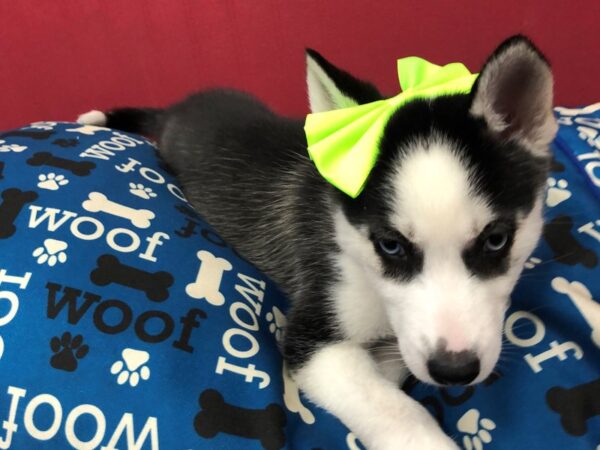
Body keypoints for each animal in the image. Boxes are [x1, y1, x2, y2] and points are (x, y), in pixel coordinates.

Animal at [81, 36, 556, 450]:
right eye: (390, 245)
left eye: (496, 240)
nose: (455, 371)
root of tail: (187, 105)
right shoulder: (316, 332)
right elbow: (394, 409)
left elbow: (394, 365)